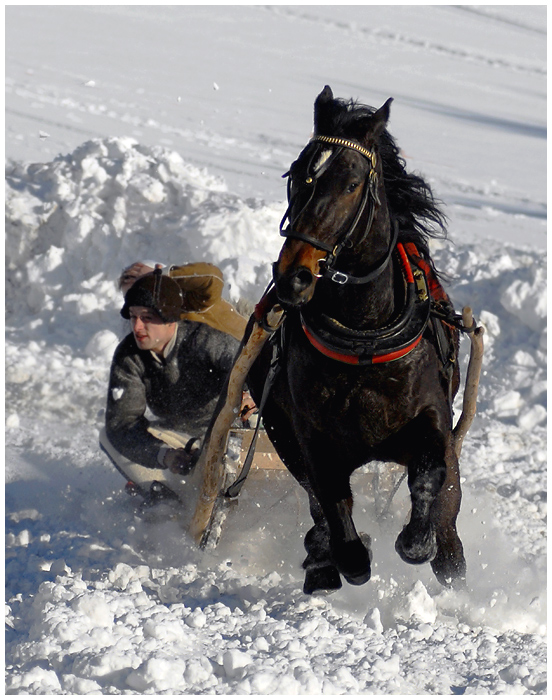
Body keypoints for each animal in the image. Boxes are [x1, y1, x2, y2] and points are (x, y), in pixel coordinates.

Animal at [249, 85, 466, 592]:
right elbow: (335, 513)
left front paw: (415, 541)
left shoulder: (431, 420)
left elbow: (430, 480)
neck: (365, 336)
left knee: (449, 527)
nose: (294, 277)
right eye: (296, 175)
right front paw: (339, 555)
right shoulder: (311, 438)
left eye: (350, 184)